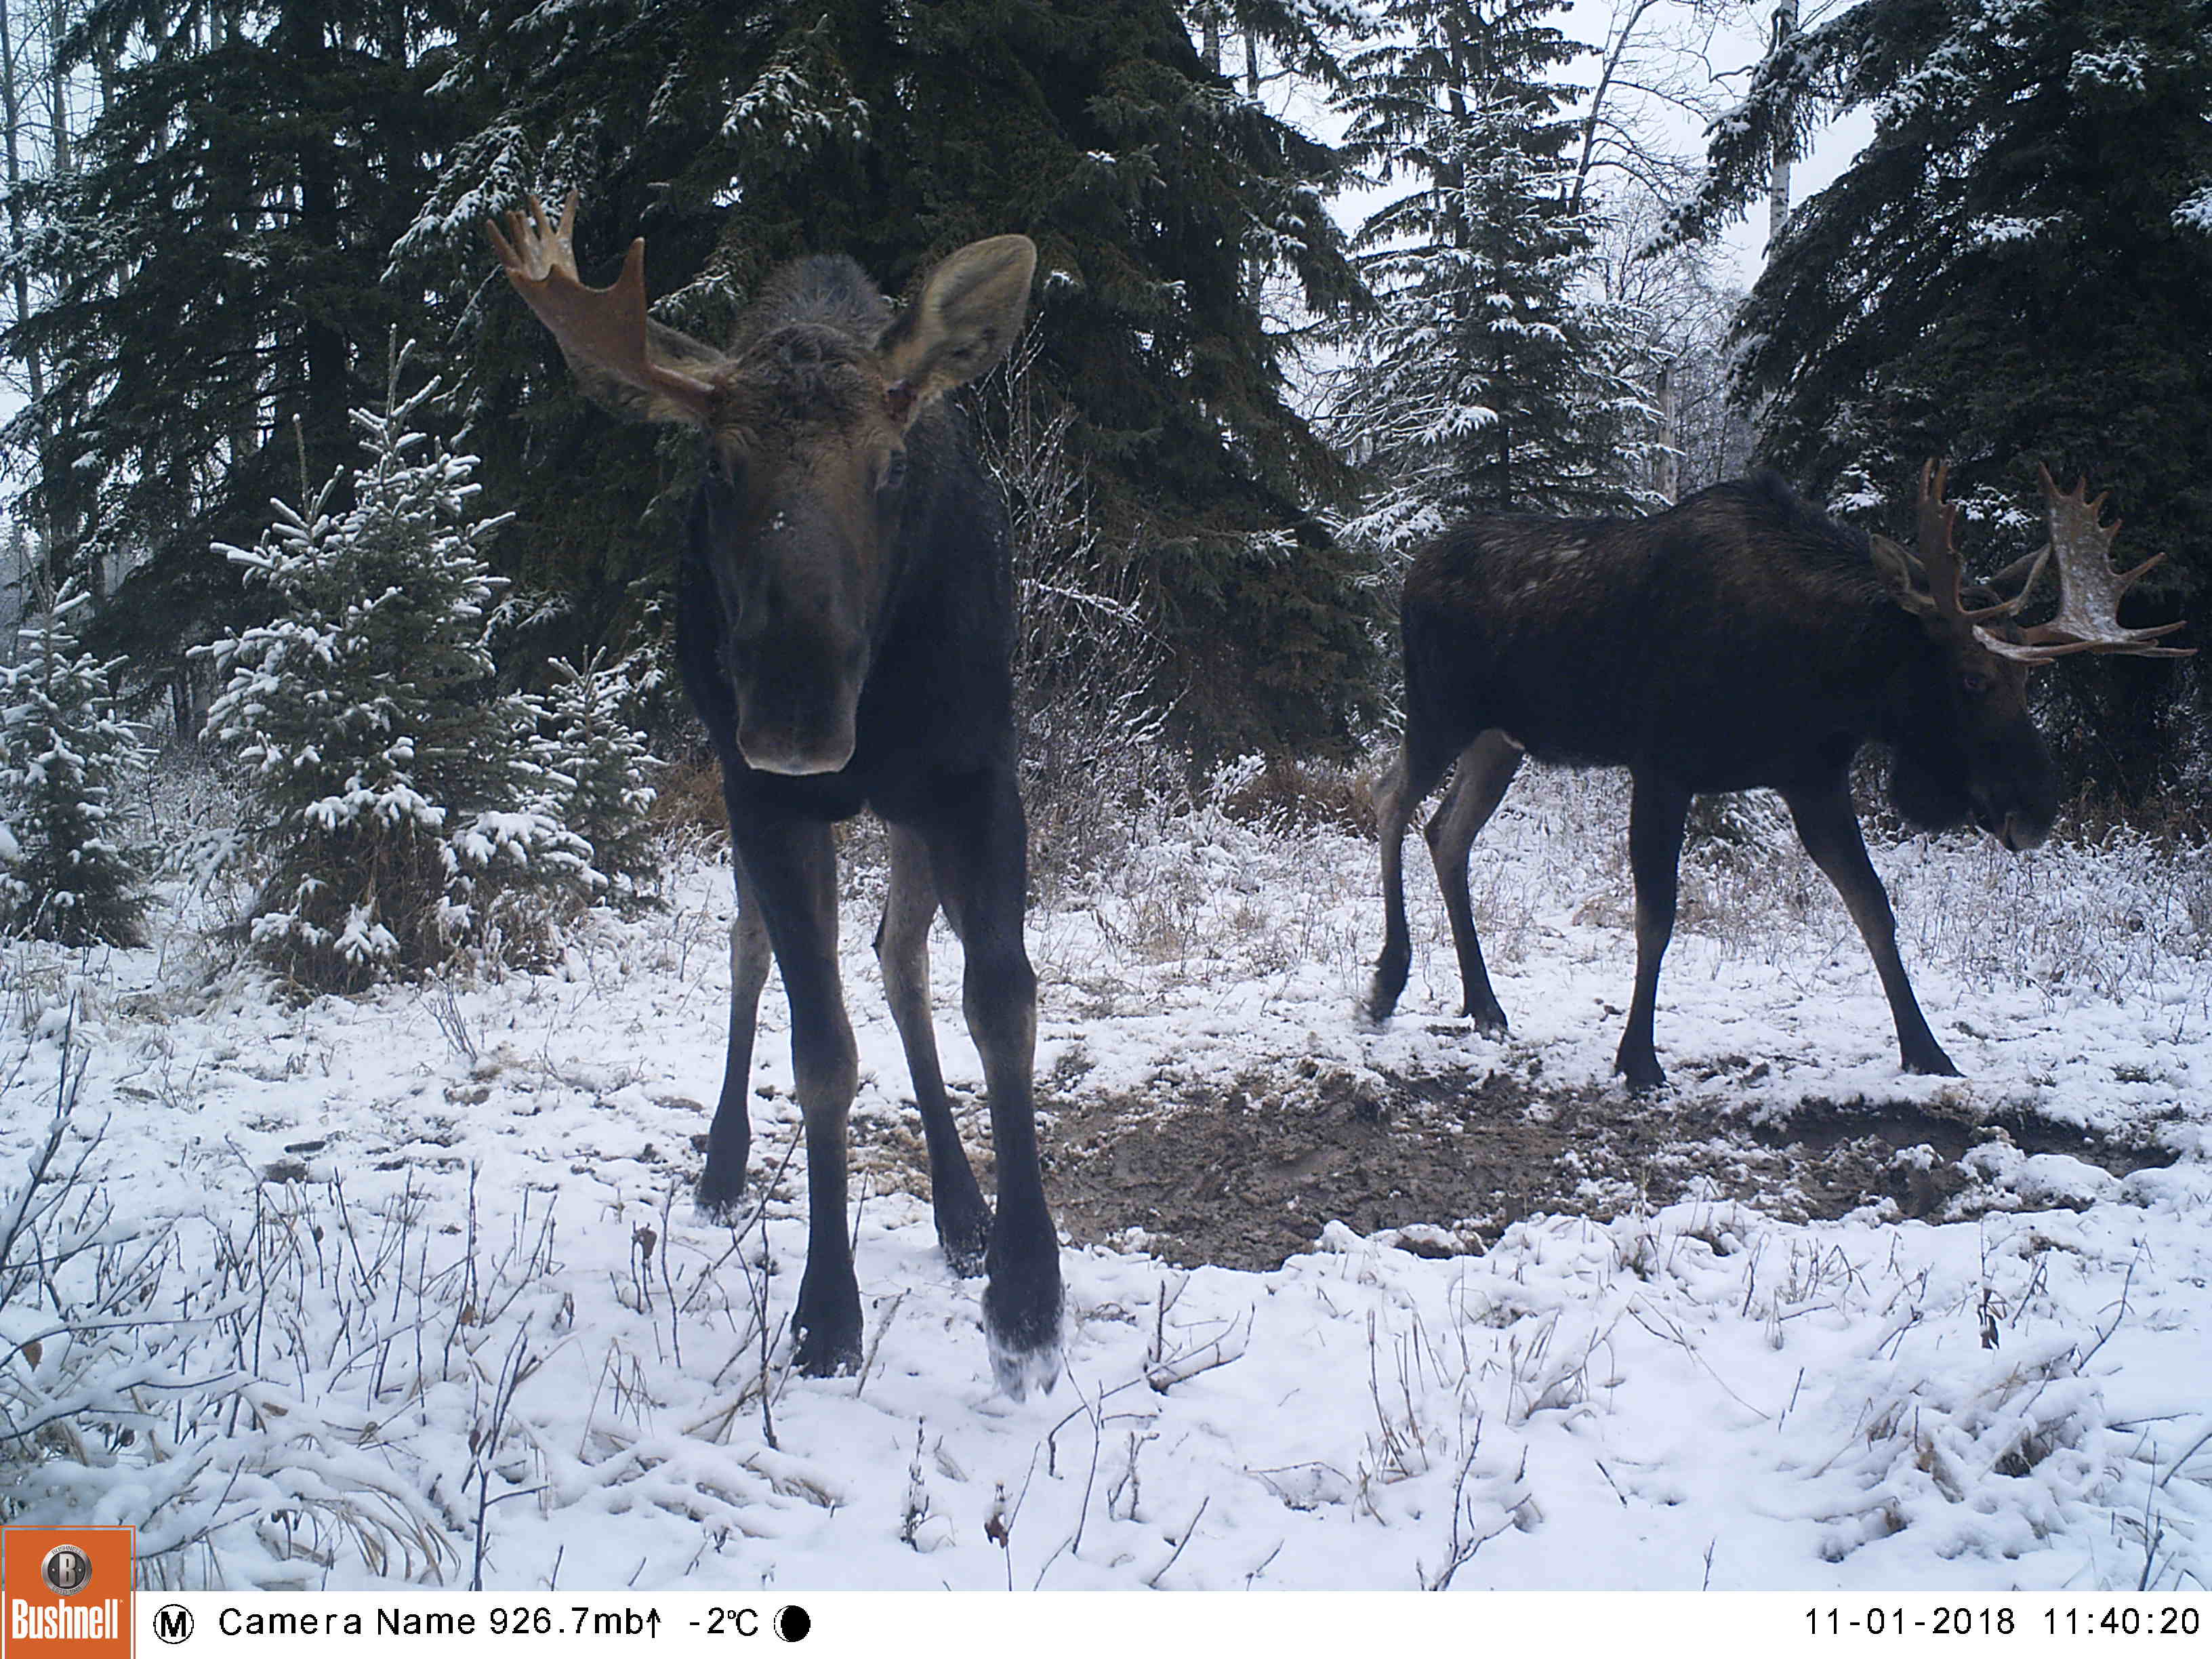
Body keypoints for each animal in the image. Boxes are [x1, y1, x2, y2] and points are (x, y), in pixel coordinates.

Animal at [489, 193, 1060, 1397]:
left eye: (890, 466)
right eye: (716, 466)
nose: (796, 713)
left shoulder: (972, 769)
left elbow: (1001, 1002)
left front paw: (1029, 1297)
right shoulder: (764, 798)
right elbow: (820, 1051)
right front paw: (825, 1313)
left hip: (902, 808)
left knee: (901, 960)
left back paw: (963, 1211)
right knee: (753, 952)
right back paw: (722, 1162)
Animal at [1368, 462, 2190, 1090]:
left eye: (2029, 682)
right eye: (1971, 678)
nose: (2036, 811)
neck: (1822, 676)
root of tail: (1410, 571)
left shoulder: (1813, 778)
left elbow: (1873, 907)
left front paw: (1926, 1051)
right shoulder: (1664, 764)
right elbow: (1657, 916)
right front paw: (1639, 1058)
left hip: (1500, 740)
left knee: (1447, 831)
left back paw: (1484, 1005)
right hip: (1441, 711)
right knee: (1391, 798)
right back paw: (1387, 981)